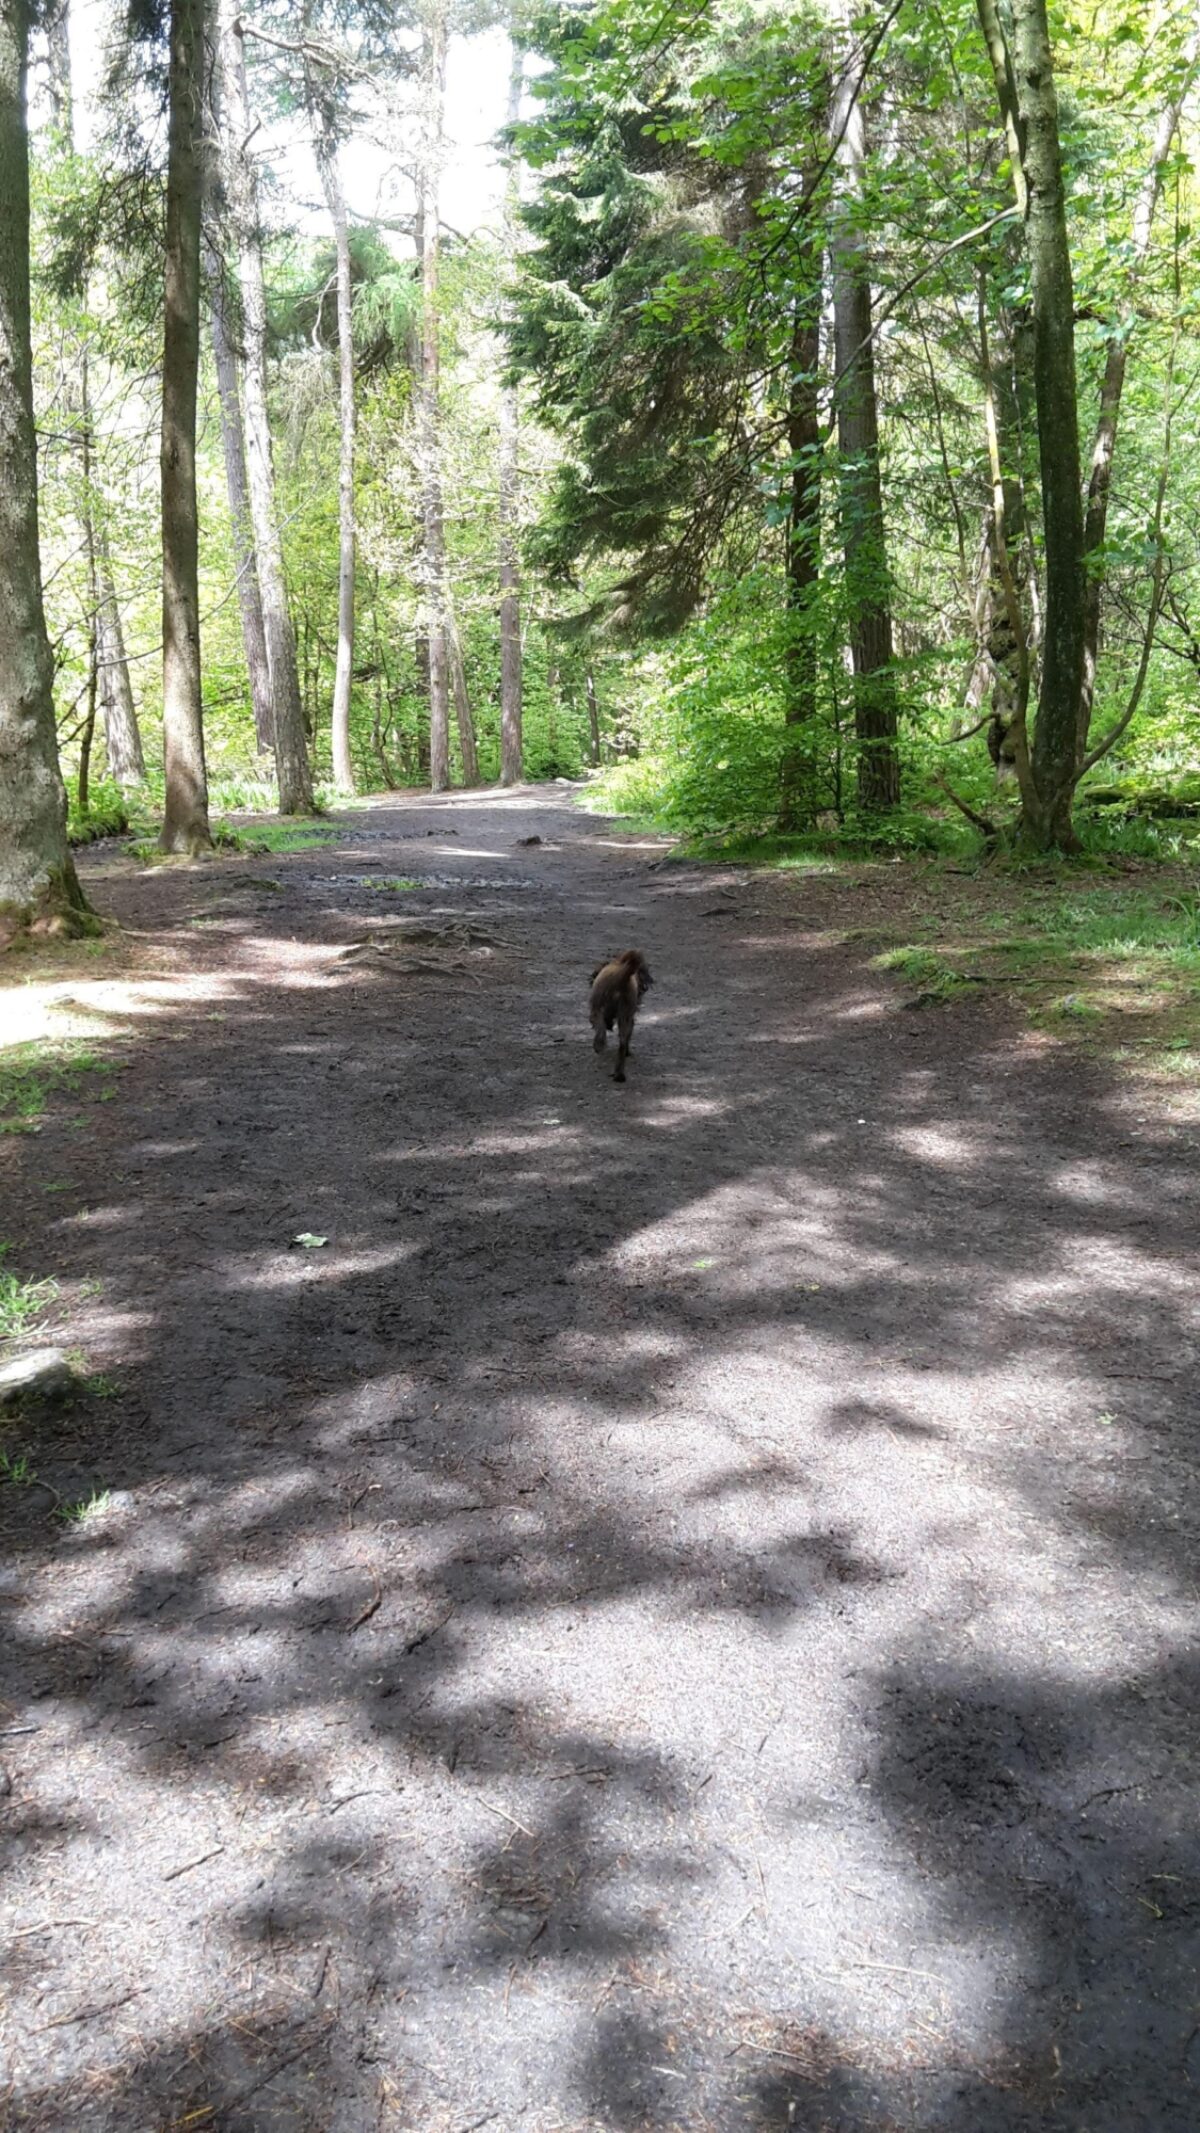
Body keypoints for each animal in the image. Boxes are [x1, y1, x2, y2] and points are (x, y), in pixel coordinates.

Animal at [588, 951, 652, 1083]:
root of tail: (623, 977)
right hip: (625, 1016)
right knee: (622, 1044)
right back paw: (619, 1074)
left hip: (597, 1009)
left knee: (601, 1031)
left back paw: (599, 1046)